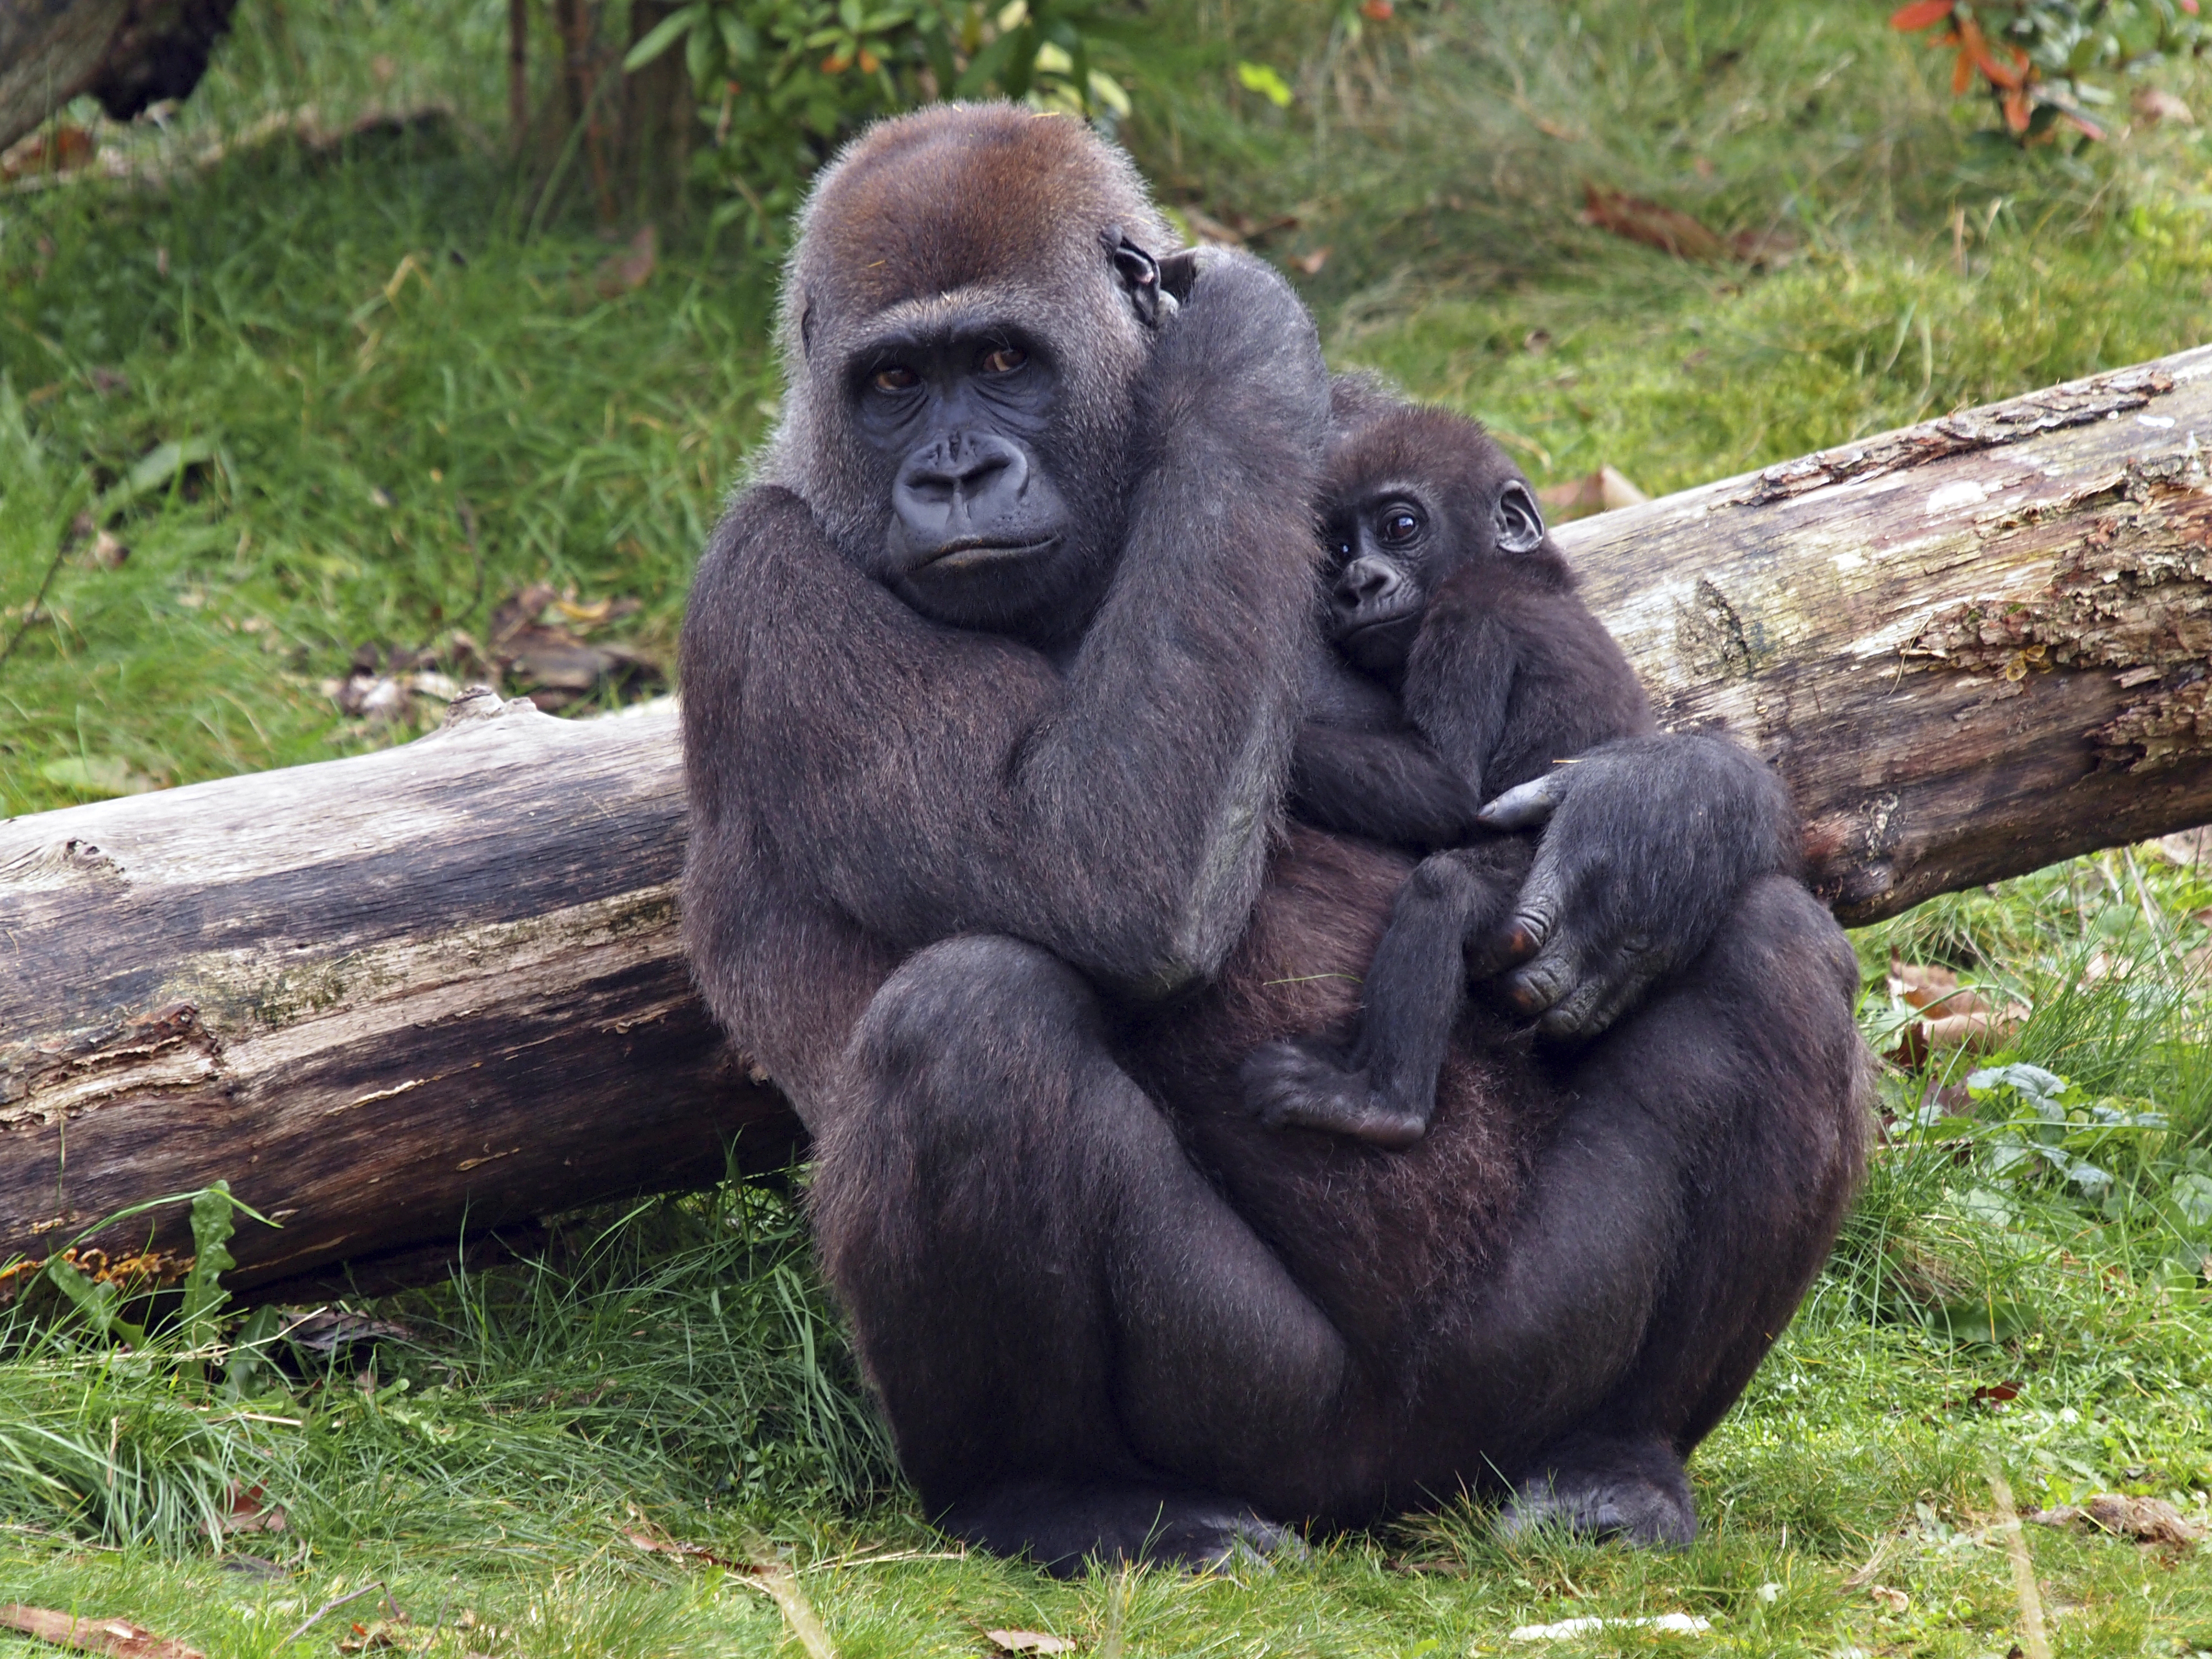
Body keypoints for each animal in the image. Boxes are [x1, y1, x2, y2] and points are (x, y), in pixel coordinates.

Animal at [1256, 409, 1654, 1150]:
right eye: (1338, 549)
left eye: (1400, 528)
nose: (1358, 586)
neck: (1522, 569)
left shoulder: (1469, 615)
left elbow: (1444, 788)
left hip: (1540, 898)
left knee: (1444, 889)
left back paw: (1384, 1103)